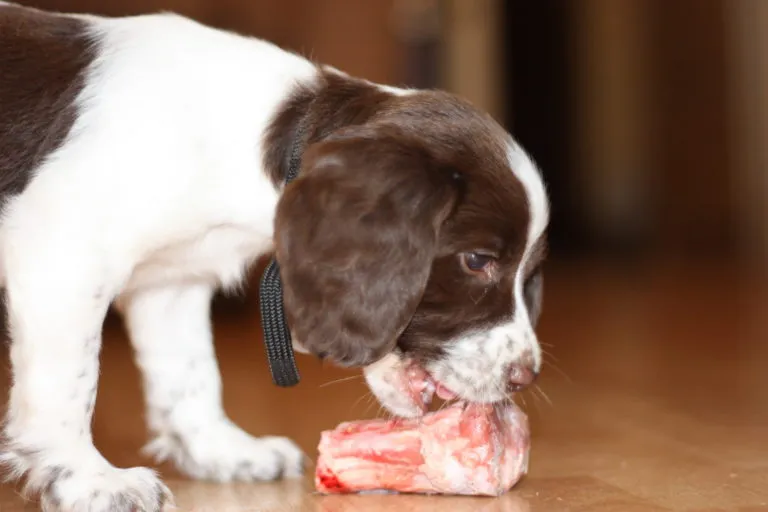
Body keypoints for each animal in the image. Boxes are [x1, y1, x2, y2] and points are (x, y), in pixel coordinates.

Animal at [0, 2, 548, 510]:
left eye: (529, 274)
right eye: (477, 261)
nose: (525, 376)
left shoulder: (171, 282)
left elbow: (190, 373)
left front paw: (220, 451)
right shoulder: (63, 259)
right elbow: (70, 384)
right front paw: (88, 479)